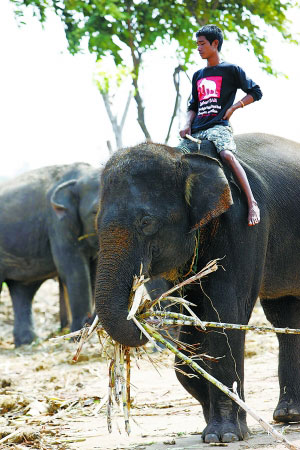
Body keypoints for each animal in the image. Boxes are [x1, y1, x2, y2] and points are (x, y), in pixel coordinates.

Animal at [0, 163, 101, 346]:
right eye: (95, 211)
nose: (89, 323)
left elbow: (94, 272)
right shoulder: (57, 223)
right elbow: (74, 270)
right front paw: (77, 337)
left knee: (22, 290)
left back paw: (26, 342)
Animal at [95, 134, 300, 442]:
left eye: (146, 222)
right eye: (95, 223)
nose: (144, 317)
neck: (184, 157)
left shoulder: (245, 226)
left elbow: (225, 313)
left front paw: (224, 435)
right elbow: (193, 319)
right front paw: (210, 415)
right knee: (283, 315)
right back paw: (289, 415)